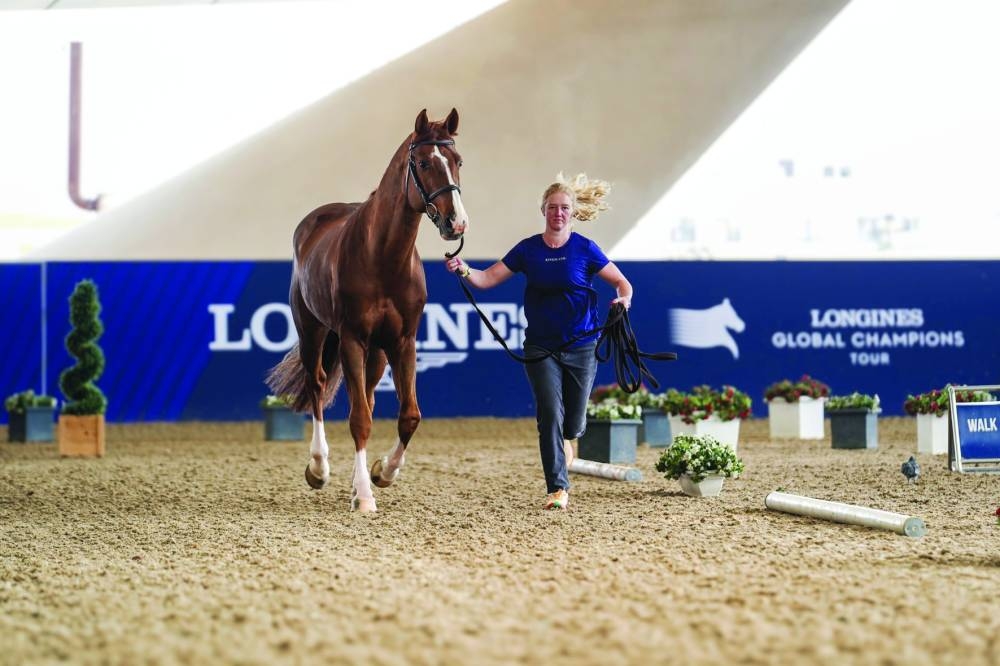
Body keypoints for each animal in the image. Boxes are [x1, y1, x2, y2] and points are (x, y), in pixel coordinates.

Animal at [266, 108, 468, 512]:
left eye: (458, 162)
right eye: (424, 162)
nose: (456, 223)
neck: (383, 259)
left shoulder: (403, 342)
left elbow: (408, 416)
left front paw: (381, 473)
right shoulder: (352, 340)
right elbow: (359, 418)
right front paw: (363, 495)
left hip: (377, 351)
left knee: (370, 396)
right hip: (313, 331)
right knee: (317, 386)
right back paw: (319, 468)